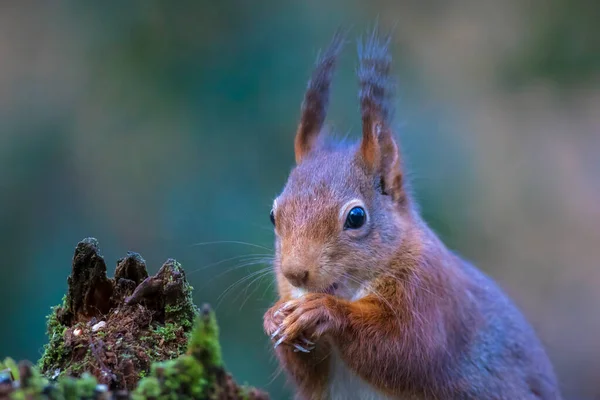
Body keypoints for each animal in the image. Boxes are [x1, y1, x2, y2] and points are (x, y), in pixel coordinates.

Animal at [264, 31, 564, 400]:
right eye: (273, 214)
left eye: (356, 217)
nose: (295, 273)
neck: (347, 289)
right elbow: (309, 375)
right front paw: (273, 318)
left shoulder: (432, 297)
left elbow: (405, 349)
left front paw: (322, 311)